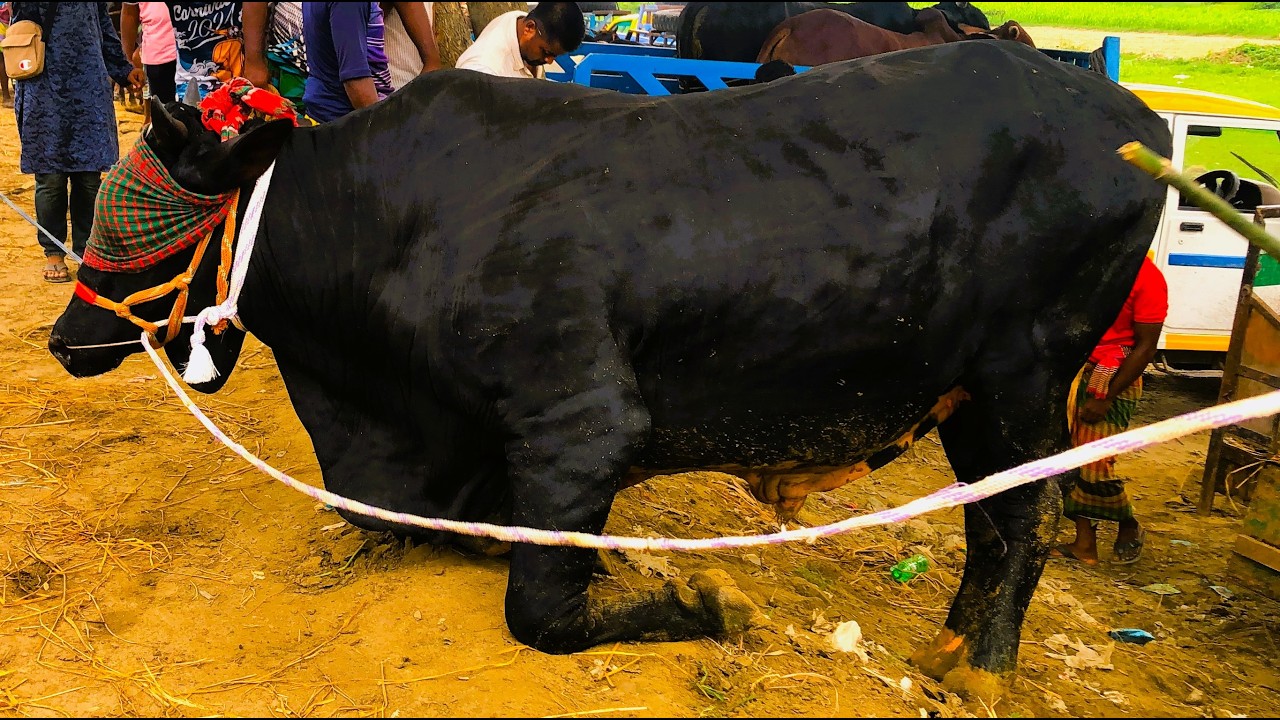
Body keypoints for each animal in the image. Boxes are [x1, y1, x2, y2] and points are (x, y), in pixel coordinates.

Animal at [48, 41, 1170, 698]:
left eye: (128, 213)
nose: (64, 340)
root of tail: (1133, 116)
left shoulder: (580, 432)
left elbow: (541, 613)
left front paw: (703, 604)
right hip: (974, 400)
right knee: (989, 520)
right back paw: (945, 651)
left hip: (1019, 381)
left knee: (1026, 517)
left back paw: (980, 672)